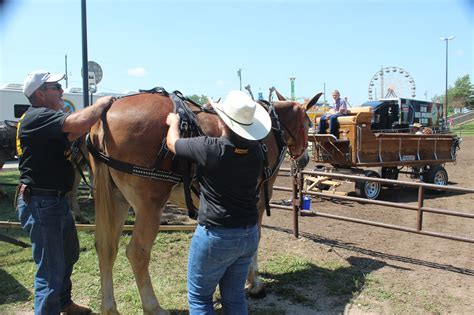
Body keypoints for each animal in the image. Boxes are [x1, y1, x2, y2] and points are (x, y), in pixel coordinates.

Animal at [88, 90, 322, 314]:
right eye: (308, 123)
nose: (305, 159)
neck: (270, 128)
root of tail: (106, 113)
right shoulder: (258, 200)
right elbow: (255, 239)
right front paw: (254, 283)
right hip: (149, 207)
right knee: (137, 253)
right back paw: (153, 307)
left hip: (117, 199)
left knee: (106, 247)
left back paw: (109, 308)